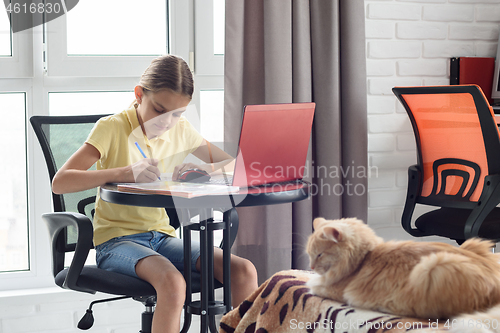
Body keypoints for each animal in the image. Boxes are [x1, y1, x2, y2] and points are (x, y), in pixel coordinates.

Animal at [306, 217, 500, 318]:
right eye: (309, 254)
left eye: (319, 255)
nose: (311, 266)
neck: (364, 258)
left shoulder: (335, 289)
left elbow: (312, 284)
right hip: (474, 244)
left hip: (435, 267)